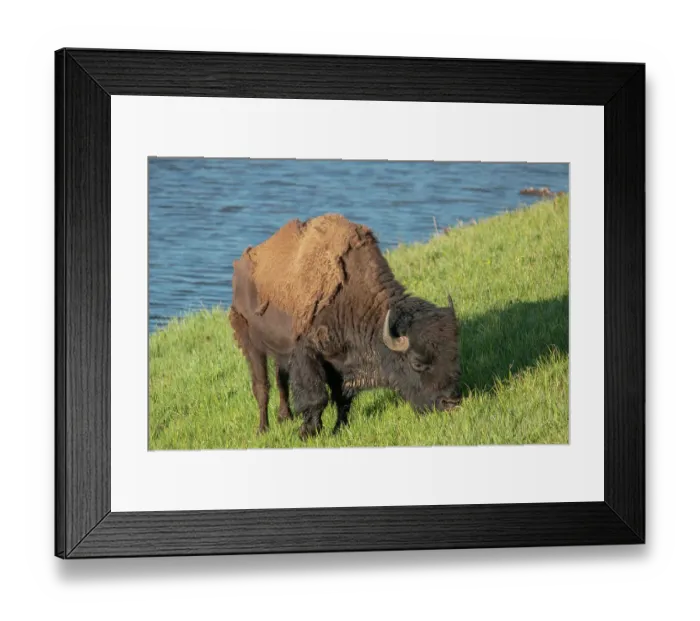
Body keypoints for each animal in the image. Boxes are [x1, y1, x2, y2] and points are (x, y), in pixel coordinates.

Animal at [229, 213, 461, 439]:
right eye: (417, 363)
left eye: (453, 357)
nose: (450, 404)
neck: (352, 298)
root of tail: (240, 266)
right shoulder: (307, 354)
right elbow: (316, 397)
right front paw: (308, 432)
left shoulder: (339, 359)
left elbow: (342, 397)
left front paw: (339, 428)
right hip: (251, 344)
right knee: (262, 387)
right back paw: (262, 429)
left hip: (279, 350)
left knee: (280, 380)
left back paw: (284, 417)